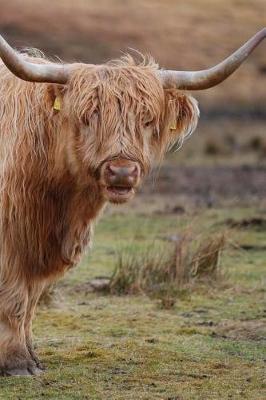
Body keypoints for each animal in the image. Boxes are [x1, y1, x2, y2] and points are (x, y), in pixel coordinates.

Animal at [0, 29, 264, 376]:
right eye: (89, 115)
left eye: (147, 120)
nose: (122, 171)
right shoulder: (12, 239)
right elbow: (14, 298)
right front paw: (17, 363)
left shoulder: (37, 245)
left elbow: (30, 301)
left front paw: (33, 359)